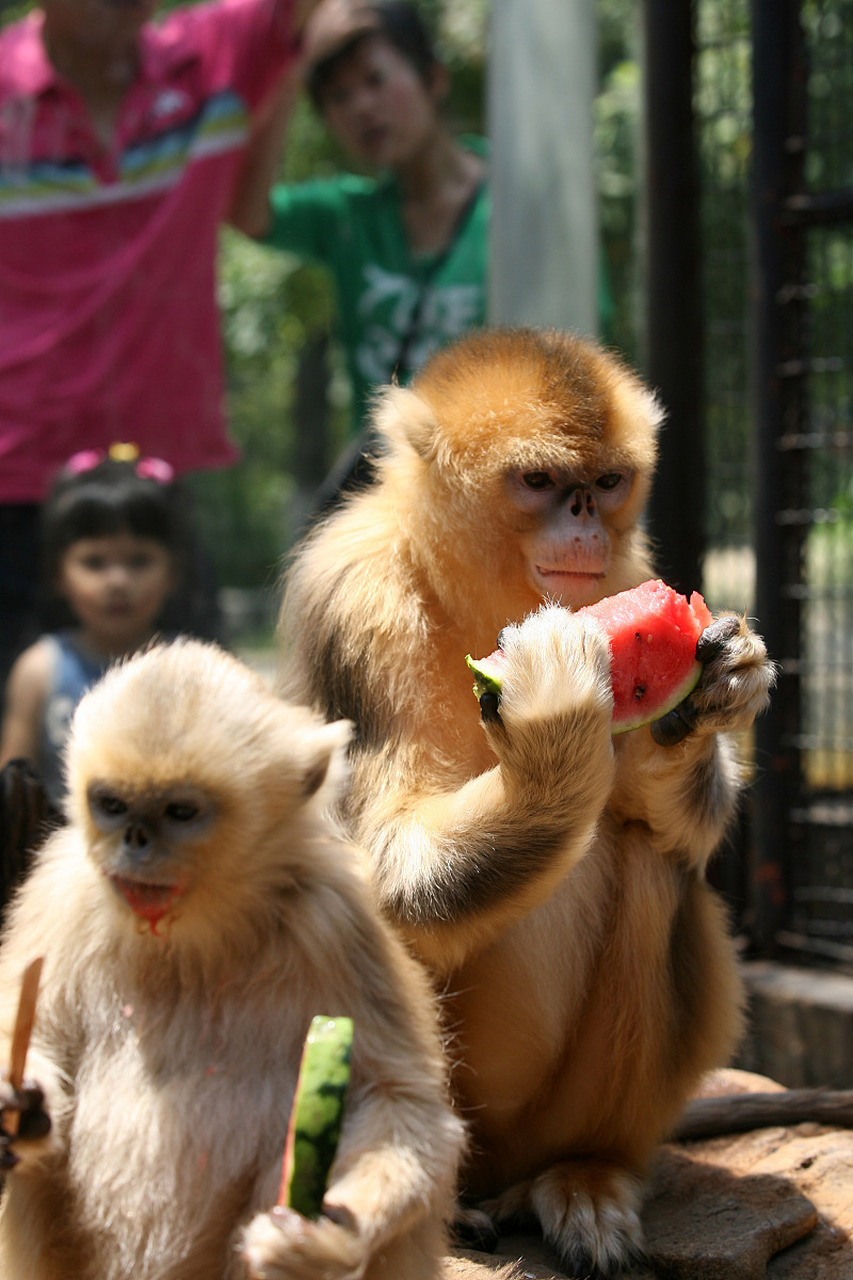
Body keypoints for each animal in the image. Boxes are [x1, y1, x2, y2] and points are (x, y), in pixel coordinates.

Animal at [0, 645, 461, 1280]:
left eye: (180, 811)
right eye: (113, 805)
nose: (135, 840)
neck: (190, 941)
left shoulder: (335, 918)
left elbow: (406, 1106)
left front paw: (323, 1247)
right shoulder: (63, 889)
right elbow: (28, 1030)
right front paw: (20, 1104)